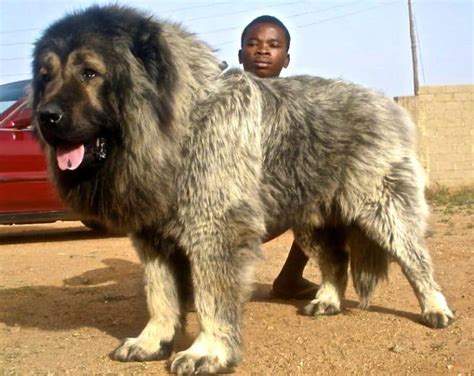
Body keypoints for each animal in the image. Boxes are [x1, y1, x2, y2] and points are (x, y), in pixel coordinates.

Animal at [31, 4, 454, 374]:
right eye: (45, 76)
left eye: (89, 73)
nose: (45, 116)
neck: (180, 124)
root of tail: (384, 102)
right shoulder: (152, 237)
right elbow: (160, 296)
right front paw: (152, 341)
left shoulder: (215, 231)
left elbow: (211, 297)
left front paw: (207, 352)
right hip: (310, 218)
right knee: (335, 260)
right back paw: (327, 300)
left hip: (382, 210)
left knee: (417, 260)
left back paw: (436, 309)